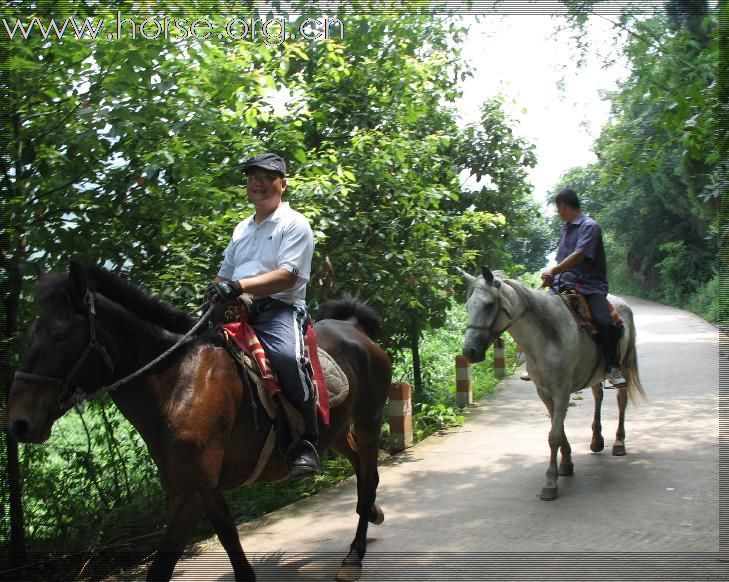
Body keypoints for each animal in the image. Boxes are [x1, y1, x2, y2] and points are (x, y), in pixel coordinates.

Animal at [4, 266, 392, 582]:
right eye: (33, 333)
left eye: (60, 336)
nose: (19, 422)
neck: (177, 381)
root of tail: (354, 328)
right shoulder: (193, 487)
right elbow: (215, 550)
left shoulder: (193, 490)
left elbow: (176, 565)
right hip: (334, 432)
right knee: (360, 468)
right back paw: (371, 512)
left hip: (368, 419)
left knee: (368, 474)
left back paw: (354, 556)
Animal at [460, 270, 644, 502]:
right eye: (468, 306)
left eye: (489, 305)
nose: (469, 351)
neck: (546, 338)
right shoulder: (544, 393)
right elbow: (559, 430)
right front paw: (566, 464)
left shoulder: (561, 392)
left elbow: (554, 435)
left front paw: (550, 482)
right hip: (595, 374)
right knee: (598, 396)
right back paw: (596, 440)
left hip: (625, 366)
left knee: (621, 401)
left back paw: (619, 443)